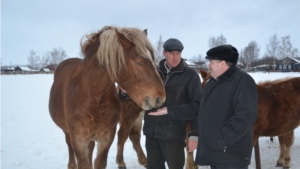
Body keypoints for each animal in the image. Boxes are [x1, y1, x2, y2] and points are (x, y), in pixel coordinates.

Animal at [49, 26, 166, 169]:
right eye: (139, 62)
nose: (160, 97)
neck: (92, 97)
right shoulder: (79, 141)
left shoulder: (106, 138)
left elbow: (99, 162)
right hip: (68, 132)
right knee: (69, 144)